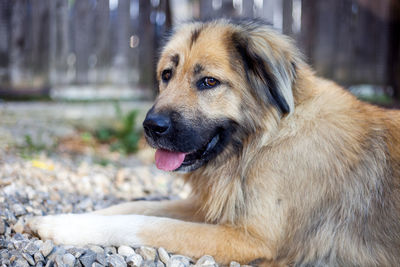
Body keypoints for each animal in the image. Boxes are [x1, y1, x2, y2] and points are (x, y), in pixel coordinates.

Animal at [27, 19, 400, 266]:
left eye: (208, 82)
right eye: (167, 75)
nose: (150, 127)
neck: (263, 140)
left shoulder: (251, 239)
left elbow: (145, 224)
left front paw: (60, 228)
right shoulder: (218, 207)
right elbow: (134, 205)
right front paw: (63, 216)